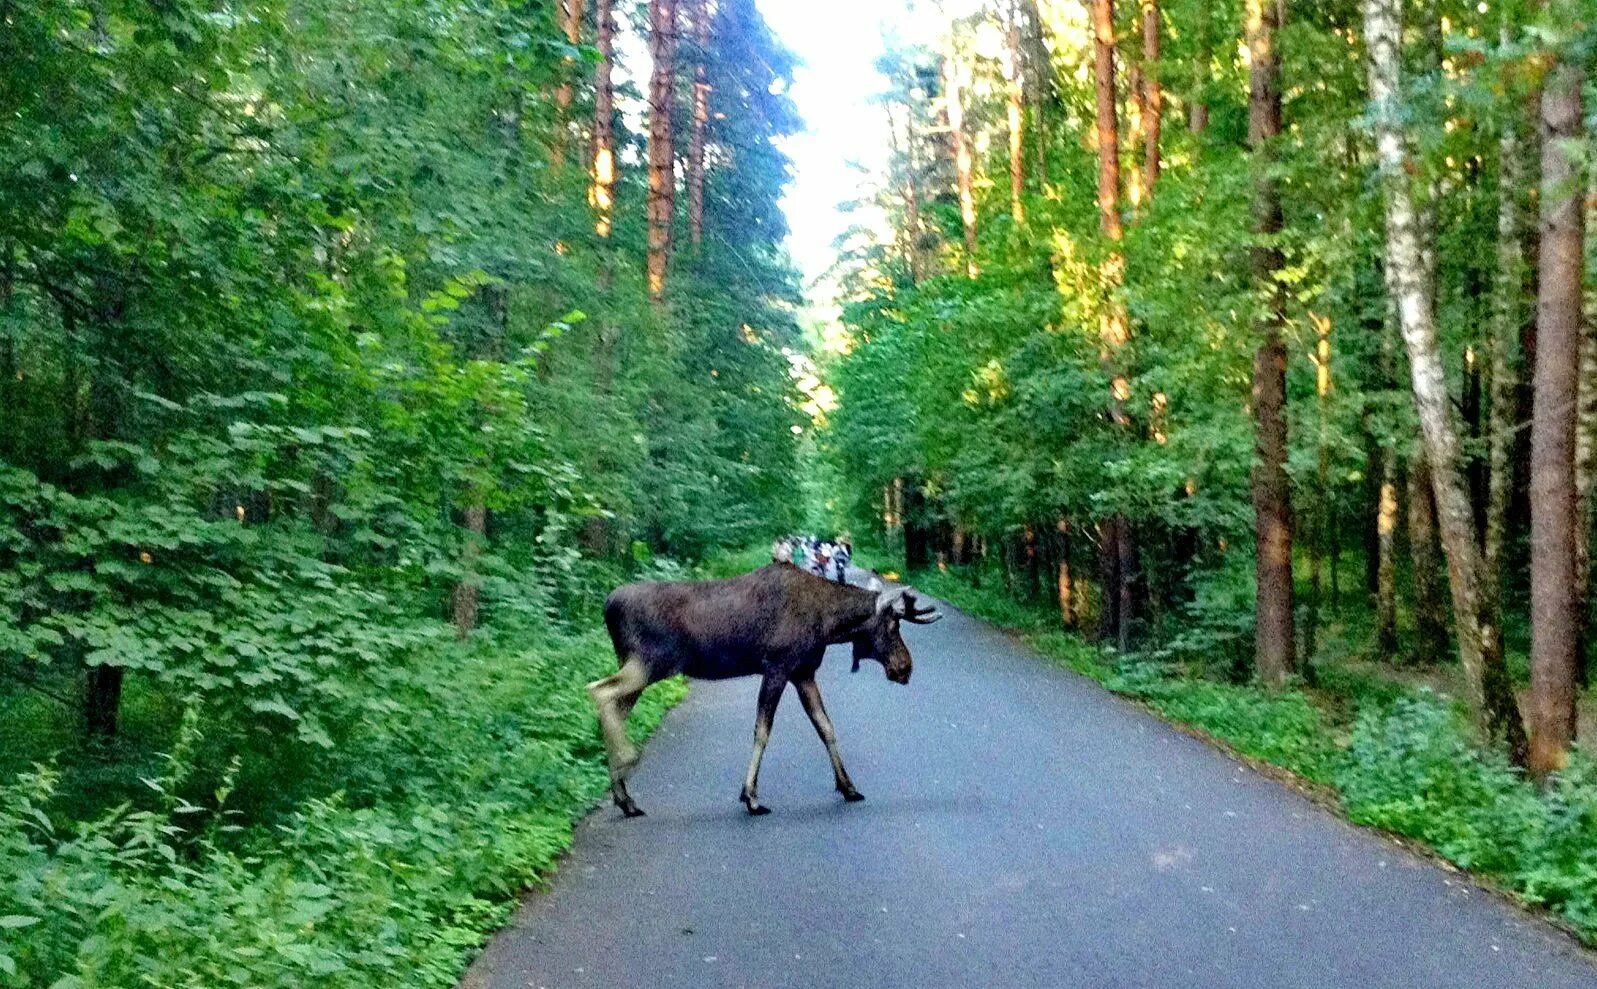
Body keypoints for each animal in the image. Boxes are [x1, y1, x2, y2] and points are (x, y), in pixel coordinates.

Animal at [587, 562, 939, 818]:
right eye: (892, 626)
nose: (905, 667)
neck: (830, 625)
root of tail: (606, 606)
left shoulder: (803, 673)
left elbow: (826, 727)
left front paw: (848, 786)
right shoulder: (777, 667)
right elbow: (763, 730)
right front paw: (751, 797)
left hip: (639, 665)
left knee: (612, 705)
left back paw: (625, 797)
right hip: (650, 663)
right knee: (599, 690)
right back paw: (629, 760)